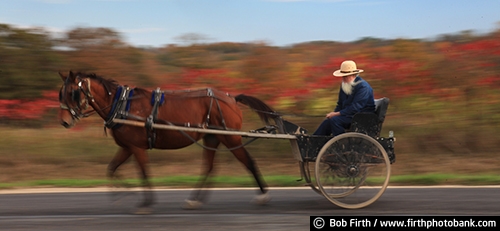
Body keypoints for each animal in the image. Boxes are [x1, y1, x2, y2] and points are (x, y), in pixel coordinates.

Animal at [57, 71, 282, 213]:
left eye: (72, 92)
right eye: (61, 93)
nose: (64, 121)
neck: (122, 106)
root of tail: (231, 98)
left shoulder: (137, 148)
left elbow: (144, 172)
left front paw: (146, 203)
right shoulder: (127, 147)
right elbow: (112, 168)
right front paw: (122, 194)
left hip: (230, 136)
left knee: (248, 162)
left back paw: (263, 195)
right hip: (212, 137)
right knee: (209, 167)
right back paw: (194, 200)